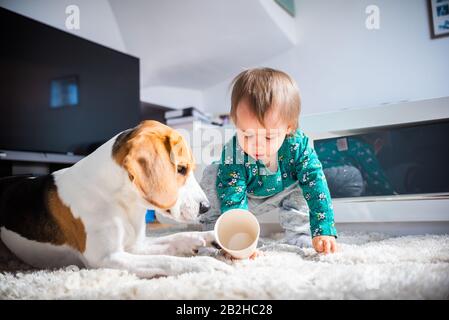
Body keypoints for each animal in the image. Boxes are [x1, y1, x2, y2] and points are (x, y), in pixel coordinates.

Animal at [0, 120, 229, 278]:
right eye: (181, 169)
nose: (206, 207)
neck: (121, 200)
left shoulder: (135, 246)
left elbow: (177, 237)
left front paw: (209, 236)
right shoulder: (107, 258)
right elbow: (167, 260)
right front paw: (205, 264)